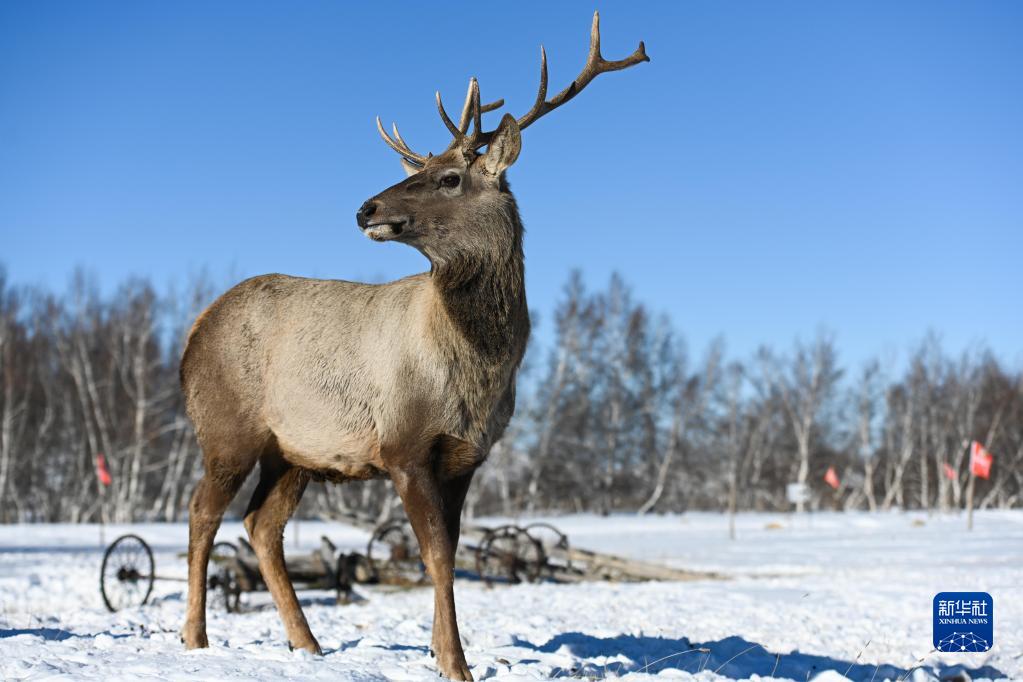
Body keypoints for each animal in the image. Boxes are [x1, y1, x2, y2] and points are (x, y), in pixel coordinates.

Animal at [182, 13, 646, 678]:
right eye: (417, 172)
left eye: (450, 178)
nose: (364, 207)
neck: (479, 368)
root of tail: (194, 330)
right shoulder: (404, 444)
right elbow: (438, 558)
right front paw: (455, 662)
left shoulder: (466, 456)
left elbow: (448, 552)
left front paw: (436, 650)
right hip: (226, 428)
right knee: (202, 514)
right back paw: (195, 637)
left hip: (292, 451)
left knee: (260, 524)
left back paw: (308, 644)